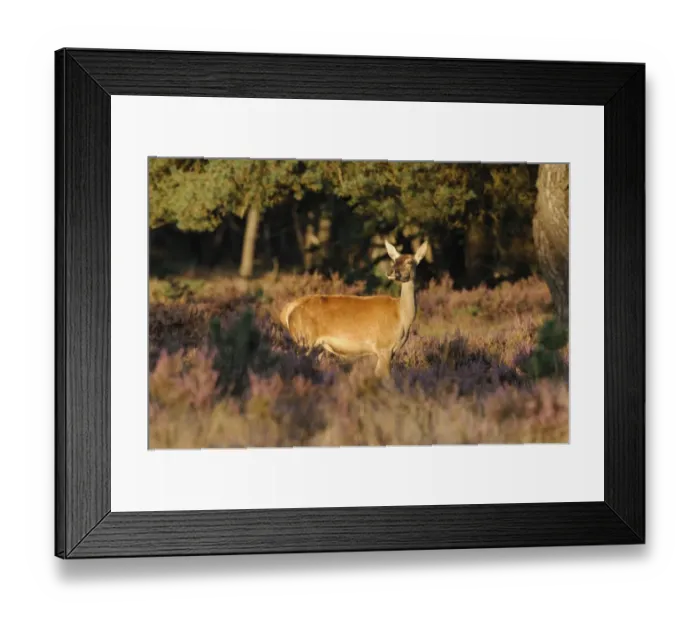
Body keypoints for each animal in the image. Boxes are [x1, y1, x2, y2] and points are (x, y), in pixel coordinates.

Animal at [279, 239, 429, 377]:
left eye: (409, 262)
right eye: (394, 260)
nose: (391, 272)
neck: (402, 317)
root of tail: (287, 311)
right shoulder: (383, 346)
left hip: (316, 346)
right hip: (304, 339)